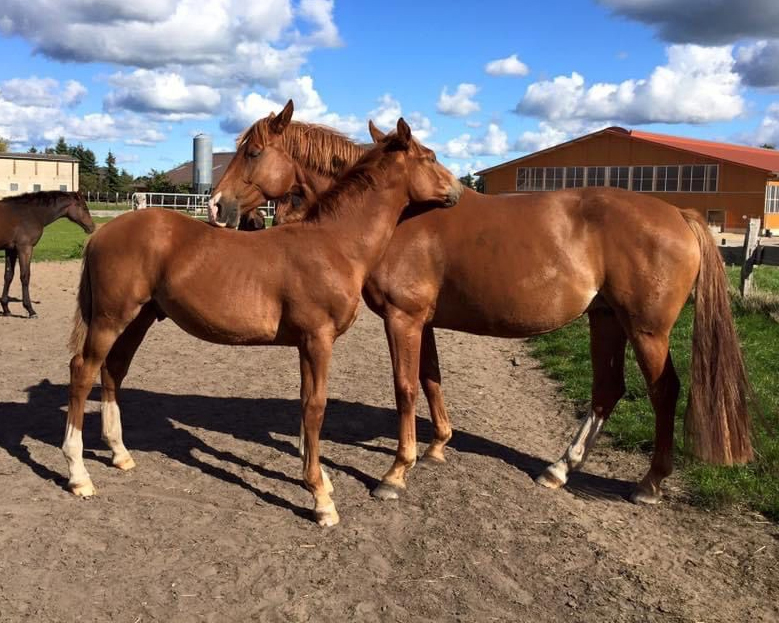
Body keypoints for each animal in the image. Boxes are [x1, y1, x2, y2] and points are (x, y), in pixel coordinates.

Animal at [65, 118, 464, 528]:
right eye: (429, 157)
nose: (457, 190)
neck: (334, 243)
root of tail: (101, 233)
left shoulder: (306, 343)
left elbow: (305, 404)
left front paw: (319, 479)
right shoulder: (317, 339)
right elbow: (315, 408)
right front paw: (321, 499)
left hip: (139, 319)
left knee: (113, 370)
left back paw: (119, 454)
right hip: (111, 318)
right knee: (82, 371)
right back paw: (79, 475)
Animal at [210, 102, 752, 510]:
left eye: (253, 152)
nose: (215, 205)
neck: (395, 216)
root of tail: (679, 214)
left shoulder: (403, 318)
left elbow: (405, 387)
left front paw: (396, 472)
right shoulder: (421, 321)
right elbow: (430, 378)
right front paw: (436, 446)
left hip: (647, 330)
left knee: (663, 392)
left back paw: (650, 483)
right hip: (606, 321)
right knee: (607, 390)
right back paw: (560, 468)